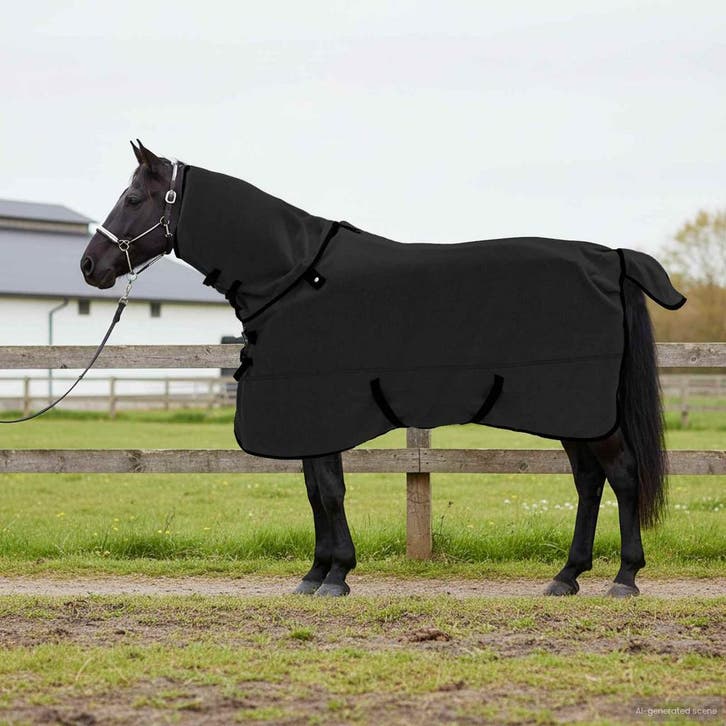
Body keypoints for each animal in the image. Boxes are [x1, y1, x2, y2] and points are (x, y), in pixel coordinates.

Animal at [80, 140, 682, 598]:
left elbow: (329, 491)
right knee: (589, 481)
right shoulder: (305, 417)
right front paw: (315, 574)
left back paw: (624, 578)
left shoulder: (320, 411)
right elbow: (316, 491)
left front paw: (336, 576)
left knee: (622, 476)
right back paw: (567, 576)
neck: (294, 276)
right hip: (573, 416)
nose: (90, 265)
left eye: (133, 197)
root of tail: (611, 258)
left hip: (586, 413)